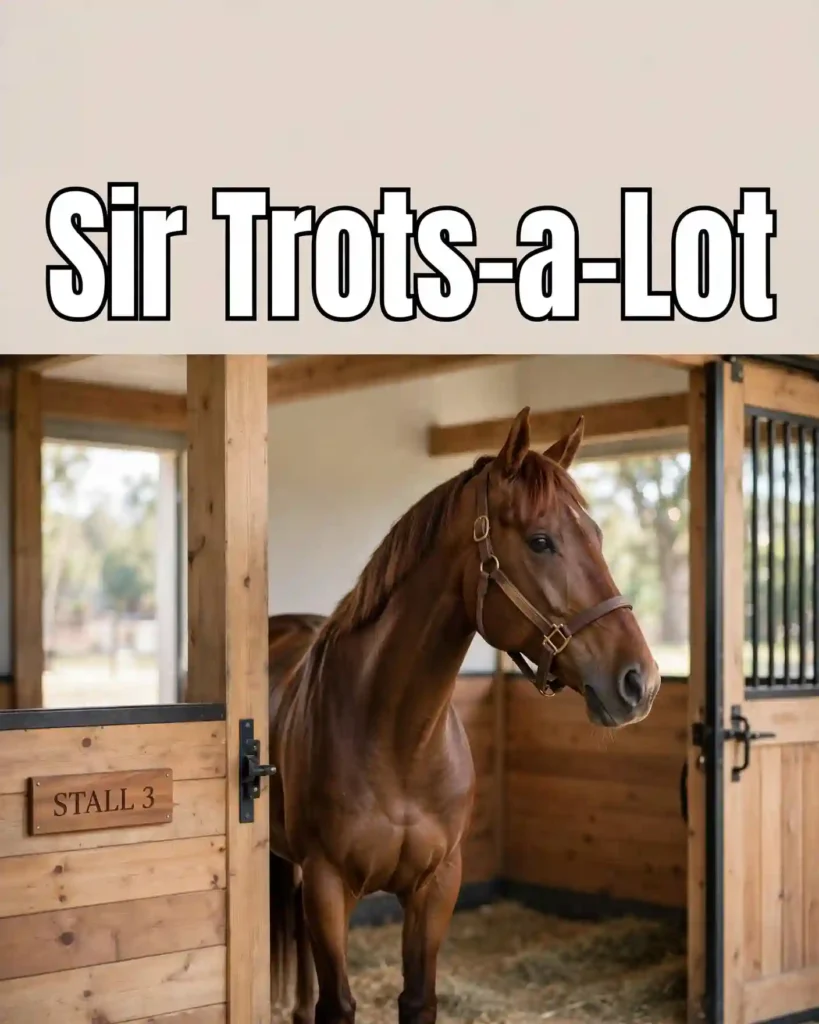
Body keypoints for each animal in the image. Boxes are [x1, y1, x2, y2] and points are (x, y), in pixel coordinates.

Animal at [266, 408, 661, 1024]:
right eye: (541, 541)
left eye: (596, 536)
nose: (639, 681)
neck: (396, 740)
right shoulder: (329, 886)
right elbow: (340, 1004)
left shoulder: (437, 885)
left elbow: (418, 998)